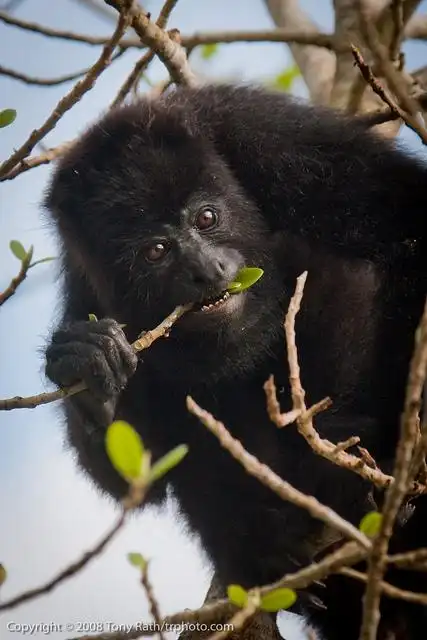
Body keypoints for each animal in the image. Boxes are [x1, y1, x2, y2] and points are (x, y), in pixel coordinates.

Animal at [43, 84, 426, 639]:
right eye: (155, 251)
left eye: (207, 218)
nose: (206, 269)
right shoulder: (85, 279)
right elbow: (144, 467)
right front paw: (91, 374)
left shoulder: (273, 139)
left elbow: (406, 232)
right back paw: (265, 547)